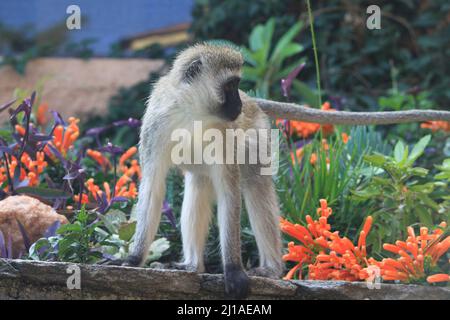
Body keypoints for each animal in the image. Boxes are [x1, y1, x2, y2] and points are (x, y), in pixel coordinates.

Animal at [125, 43, 450, 298]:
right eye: (229, 86)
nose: (239, 103)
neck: (193, 114)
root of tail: (256, 106)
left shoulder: (225, 135)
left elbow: (230, 194)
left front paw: (233, 270)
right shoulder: (156, 124)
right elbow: (153, 186)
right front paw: (133, 259)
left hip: (258, 136)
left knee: (254, 184)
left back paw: (270, 269)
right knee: (199, 183)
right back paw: (192, 266)